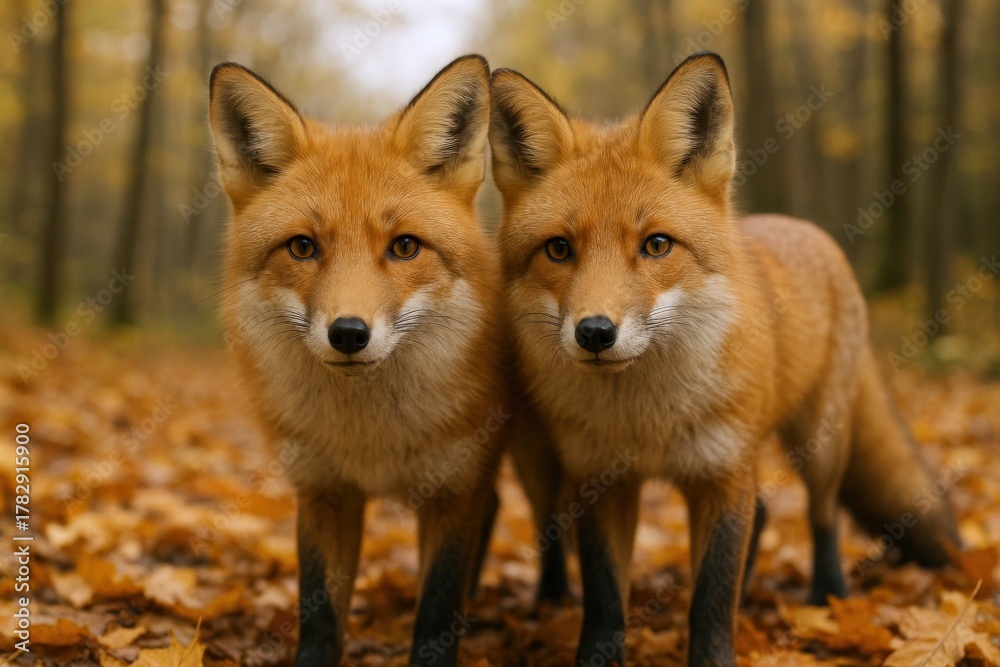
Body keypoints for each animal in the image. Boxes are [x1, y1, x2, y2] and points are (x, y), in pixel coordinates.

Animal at [209, 55, 505, 667]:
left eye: (405, 247)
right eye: (302, 247)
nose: (348, 334)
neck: (371, 439)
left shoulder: (454, 489)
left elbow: (436, 610)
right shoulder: (324, 489)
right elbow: (319, 613)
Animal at [489, 52, 960, 666]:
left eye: (656, 245)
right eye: (558, 249)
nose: (594, 333)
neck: (648, 420)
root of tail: (804, 228)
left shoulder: (722, 472)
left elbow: (711, 599)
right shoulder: (600, 478)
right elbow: (605, 600)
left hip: (819, 440)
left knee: (822, 514)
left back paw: (826, 594)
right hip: (543, 458)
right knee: (758, 513)